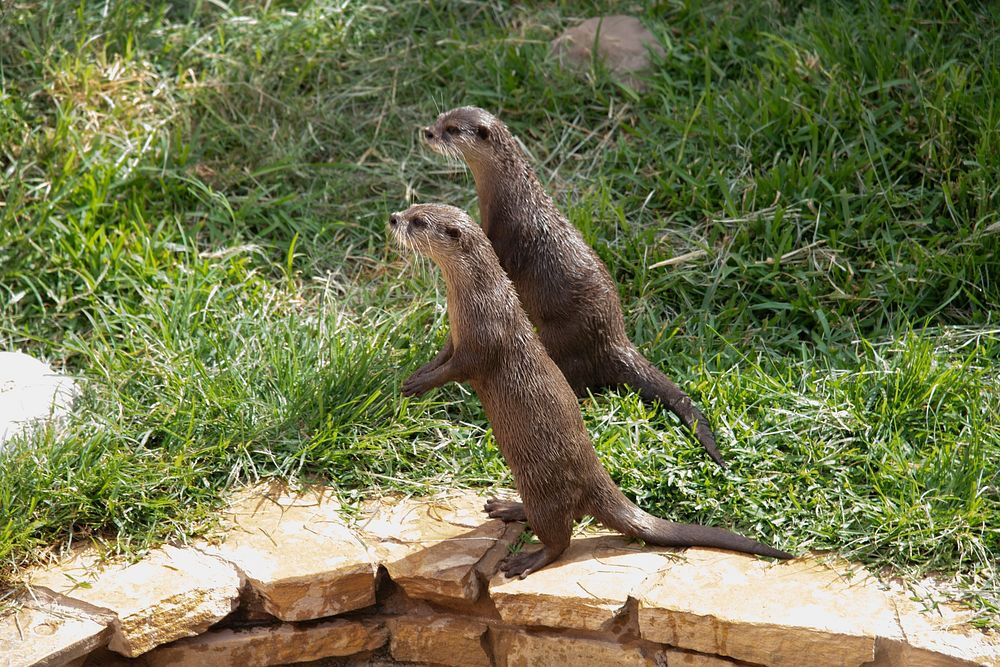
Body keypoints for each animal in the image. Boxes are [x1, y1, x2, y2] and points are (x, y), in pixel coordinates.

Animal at [388, 204, 788, 580]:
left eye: (419, 221)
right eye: (413, 208)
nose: (393, 217)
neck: (476, 300)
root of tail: (593, 475)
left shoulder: (484, 340)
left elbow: (459, 369)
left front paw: (419, 385)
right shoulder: (454, 337)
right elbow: (441, 359)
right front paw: (414, 377)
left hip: (544, 488)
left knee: (561, 540)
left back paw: (528, 558)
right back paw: (508, 508)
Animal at [418, 105, 732, 470]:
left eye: (453, 129)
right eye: (440, 118)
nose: (428, 132)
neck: (512, 201)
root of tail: (614, 339)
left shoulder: (504, 239)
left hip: (562, 341)